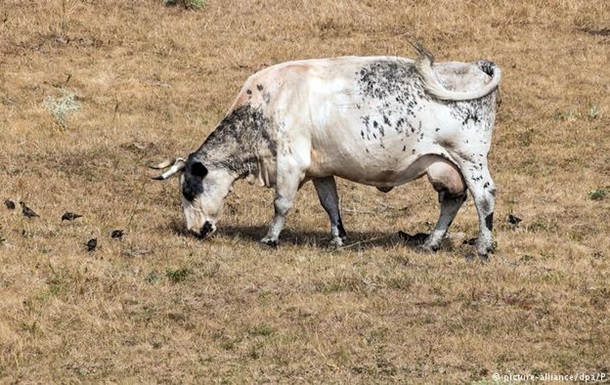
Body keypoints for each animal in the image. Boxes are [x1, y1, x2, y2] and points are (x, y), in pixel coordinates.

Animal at [150, 44, 502, 258]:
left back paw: (482, 248)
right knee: (453, 200)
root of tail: (476, 66)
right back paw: (430, 243)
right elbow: (330, 204)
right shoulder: (321, 170)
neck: (264, 107)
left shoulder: (290, 164)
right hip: (445, 165)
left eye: (188, 191)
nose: (194, 231)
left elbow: (281, 204)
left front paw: (270, 238)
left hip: (471, 160)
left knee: (483, 198)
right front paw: (337, 238)